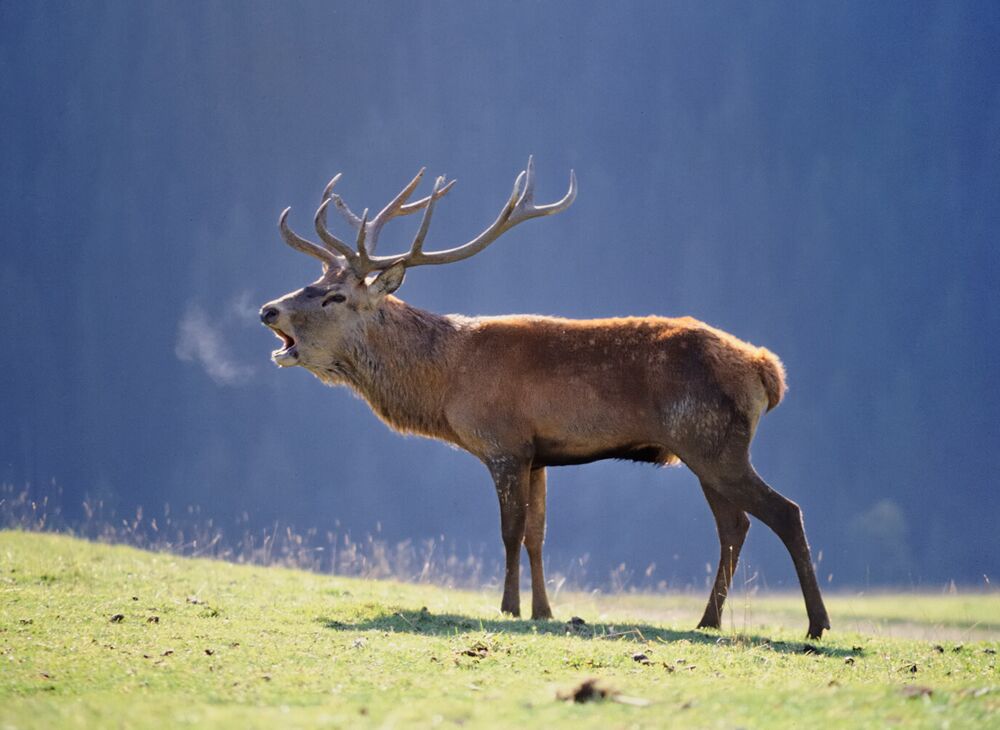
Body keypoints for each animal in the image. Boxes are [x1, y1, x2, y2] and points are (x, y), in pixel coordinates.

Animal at [262, 155, 832, 636]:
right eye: (312, 282)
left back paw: (815, 624)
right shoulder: (539, 455)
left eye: (335, 297)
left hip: (712, 442)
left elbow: (510, 531)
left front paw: (509, 607)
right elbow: (537, 533)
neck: (445, 383)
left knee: (784, 512)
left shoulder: (503, 444)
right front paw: (545, 610)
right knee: (735, 525)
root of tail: (767, 370)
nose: (269, 310)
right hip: (708, 450)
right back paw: (708, 620)